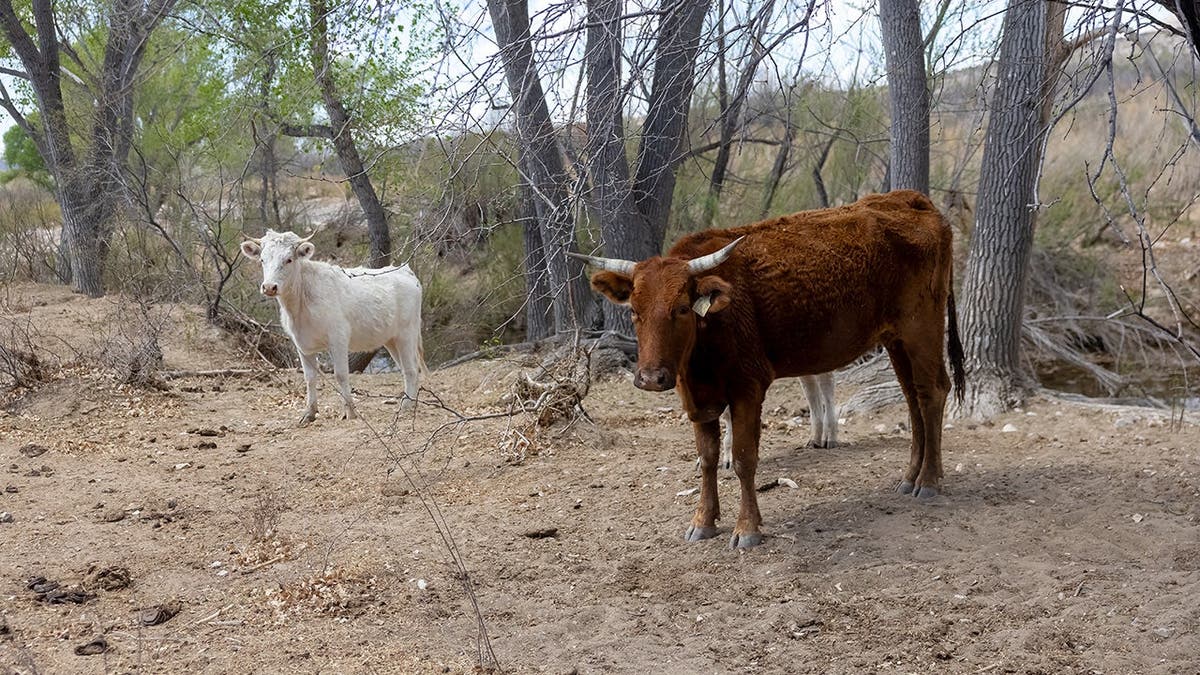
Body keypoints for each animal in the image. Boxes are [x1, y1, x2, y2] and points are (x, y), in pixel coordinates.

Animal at [240, 229, 425, 425]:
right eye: (262, 260)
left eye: (289, 259)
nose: (269, 287)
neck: (300, 303)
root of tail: (405, 270)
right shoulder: (301, 345)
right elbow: (310, 377)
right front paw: (309, 413)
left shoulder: (338, 338)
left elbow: (341, 374)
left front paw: (350, 412)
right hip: (391, 339)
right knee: (408, 369)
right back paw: (411, 404)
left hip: (407, 334)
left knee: (411, 370)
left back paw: (405, 407)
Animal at [571, 190, 965, 548]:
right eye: (635, 311)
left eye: (681, 308)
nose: (652, 378)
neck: (710, 331)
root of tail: (911, 199)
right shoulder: (699, 399)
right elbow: (708, 458)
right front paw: (703, 522)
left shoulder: (748, 388)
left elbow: (745, 459)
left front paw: (747, 529)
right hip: (896, 339)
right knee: (912, 400)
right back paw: (910, 476)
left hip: (922, 329)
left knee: (932, 393)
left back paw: (928, 481)